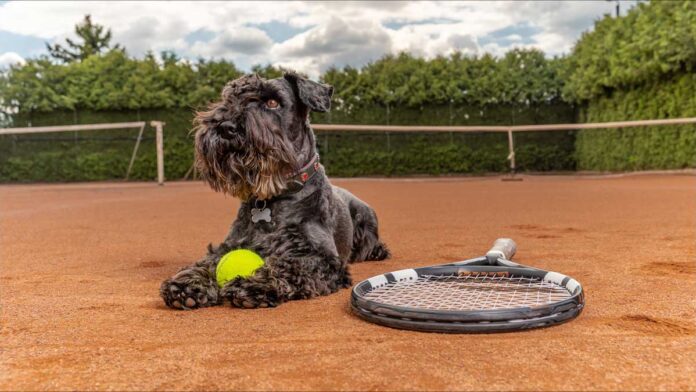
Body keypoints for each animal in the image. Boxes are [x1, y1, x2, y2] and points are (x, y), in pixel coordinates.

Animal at [160, 72, 392, 310]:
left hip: (365, 218)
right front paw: (189, 283)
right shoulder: (230, 245)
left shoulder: (322, 258)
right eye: (230, 98)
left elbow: (290, 267)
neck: (272, 199)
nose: (225, 126)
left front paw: (254, 284)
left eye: (273, 102)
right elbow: (209, 261)